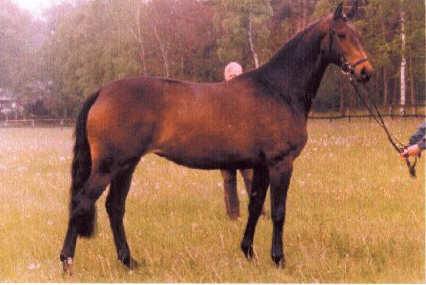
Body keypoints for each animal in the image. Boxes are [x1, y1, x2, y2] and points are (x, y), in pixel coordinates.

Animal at [59, 2, 372, 272]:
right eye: (342, 35)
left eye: (358, 35)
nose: (365, 71)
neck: (278, 89)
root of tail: (102, 91)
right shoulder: (280, 163)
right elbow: (278, 211)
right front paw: (278, 259)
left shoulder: (260, 165)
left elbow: (255, 206)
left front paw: (248, 251)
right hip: (109, 166)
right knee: (82, 201)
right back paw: (67, 262)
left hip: (127, 165)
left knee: (114, 207)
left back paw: (128, 261)